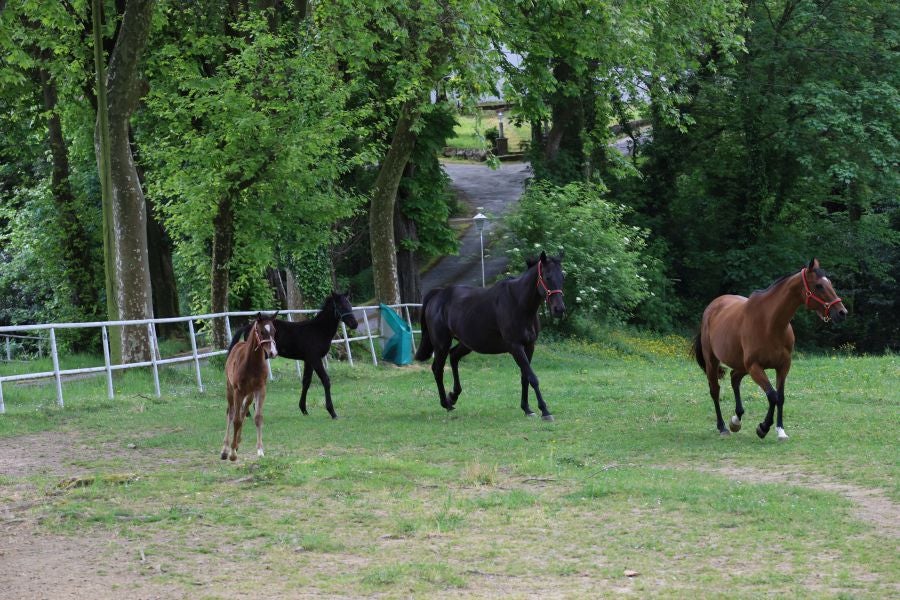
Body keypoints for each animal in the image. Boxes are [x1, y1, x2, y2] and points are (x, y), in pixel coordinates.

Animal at [222, 314, 278, 460]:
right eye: (262, 331)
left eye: (274, 331)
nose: (273, 352)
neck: (252, 363)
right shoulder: (238, 391)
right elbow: (236, 420)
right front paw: (232, 454)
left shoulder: (260, 390)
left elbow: (258, 418)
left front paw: (260, 450)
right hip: (230, 390)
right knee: (231, 413)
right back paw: (225, 449)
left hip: (249, 395)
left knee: (243, 412)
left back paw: (237, 443)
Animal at [229, 292, 358, 420]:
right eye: (340, 306)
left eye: (349, 304)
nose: (354, 324)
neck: (318, 330)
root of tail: (248, 327)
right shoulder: (315, 359)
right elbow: (326, 380)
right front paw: (332, 412)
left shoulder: (308, 360)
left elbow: (306, 381)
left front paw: (304, 409)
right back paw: (247, 412)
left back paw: (248, 412)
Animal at [414, 251, 564, 420]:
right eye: (547, 277)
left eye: (562, 277)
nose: (559, 309)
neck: (518, 303)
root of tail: (438, 294)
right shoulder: (515, 347)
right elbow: (532, 378)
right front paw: (545, 411)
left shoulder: (529, 346)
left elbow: (525, 377)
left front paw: (527, 409)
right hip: (441, 344)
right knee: (437, 369)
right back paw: (446, 403)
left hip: (466, 343)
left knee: (453, 357)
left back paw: (453, 396)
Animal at [692, 260, 848, 438]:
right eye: (819, 286)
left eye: (830, 283)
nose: (842, 312)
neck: (769, 324)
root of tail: (711, 307)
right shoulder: (755, 367)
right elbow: (772, 396)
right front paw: (763, 428)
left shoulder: (783, 366)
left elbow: (780, 396)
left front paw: (780, 430)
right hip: (713, 362)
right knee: (715, 390)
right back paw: (723, 427)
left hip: (741, 365)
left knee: (734, 378)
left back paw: (736, 420)